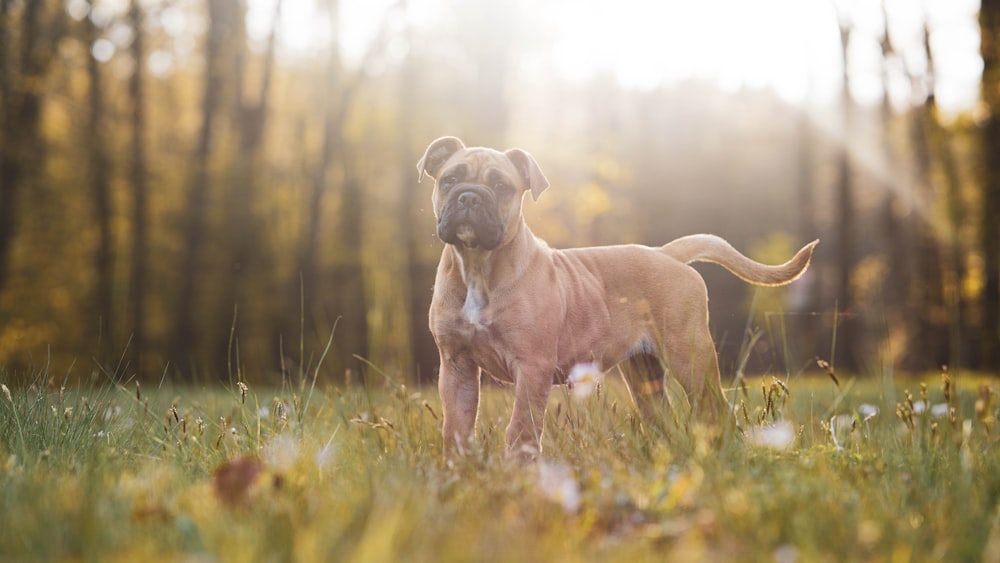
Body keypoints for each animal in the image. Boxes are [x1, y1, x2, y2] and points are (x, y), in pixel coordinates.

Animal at [418, 135, 816, 458]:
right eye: (449, 179)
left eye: (501, 186)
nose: (469, 196)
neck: (477, 267)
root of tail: (666, 253)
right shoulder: (456, 367)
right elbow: (456, 428)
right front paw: (458, 471)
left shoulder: (531, 367)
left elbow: (520, 428)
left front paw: (518, 470)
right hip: (643, 375)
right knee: (664, 417)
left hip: (691, 357)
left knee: (715, 408)